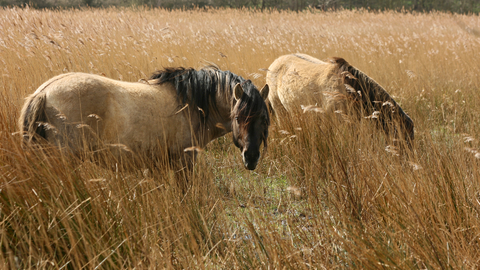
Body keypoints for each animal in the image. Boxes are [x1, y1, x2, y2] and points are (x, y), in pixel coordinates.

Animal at [18, 66, 270, 170]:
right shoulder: (184, 162)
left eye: (263, 120)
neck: (191, 104)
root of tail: (43, 92)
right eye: (238, 118)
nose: (252, 158)